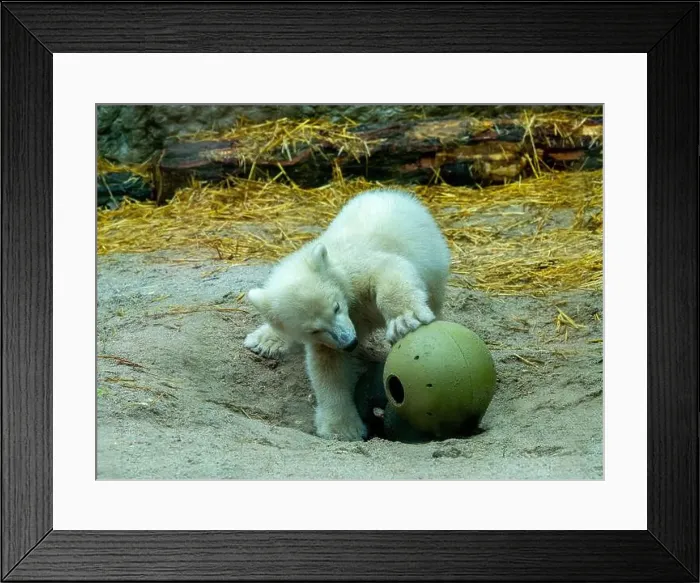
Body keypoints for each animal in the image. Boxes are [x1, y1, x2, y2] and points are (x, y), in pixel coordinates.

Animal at [244, 188, 451, 441]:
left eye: (336, 307)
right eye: (314, 329)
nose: (350, 342)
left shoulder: (357, 269)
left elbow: (389, 269)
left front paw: (404, 320)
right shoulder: (328, 338)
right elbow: (329, 366)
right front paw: (342, 428)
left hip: (433, 260)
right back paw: (265, 340)